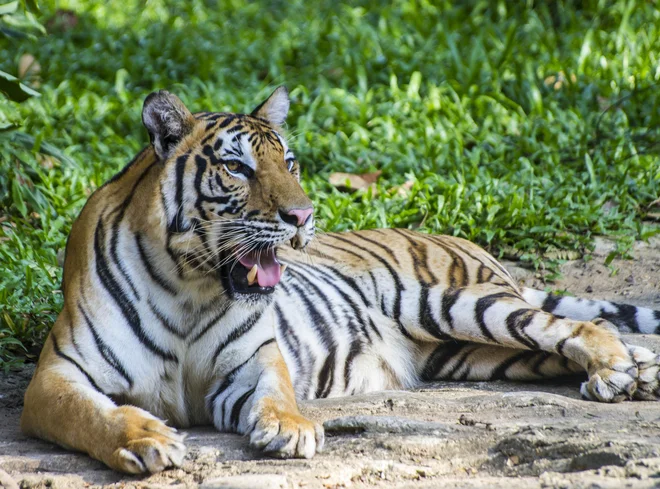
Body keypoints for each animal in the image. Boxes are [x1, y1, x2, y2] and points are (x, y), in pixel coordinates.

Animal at [20, 86, 660, 472]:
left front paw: (291, 429)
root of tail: (474, 248)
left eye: (289, 162)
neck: (189, 286)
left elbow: (276, 391)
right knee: (556, 346)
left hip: (453, 304)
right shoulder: (55, 377)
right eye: (236, 167)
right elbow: (92, 414)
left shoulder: (253, 358)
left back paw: (618, 370)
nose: (302, 217)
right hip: (471, 355)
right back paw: (637, 372)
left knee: (575, 326)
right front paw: (147, 441)